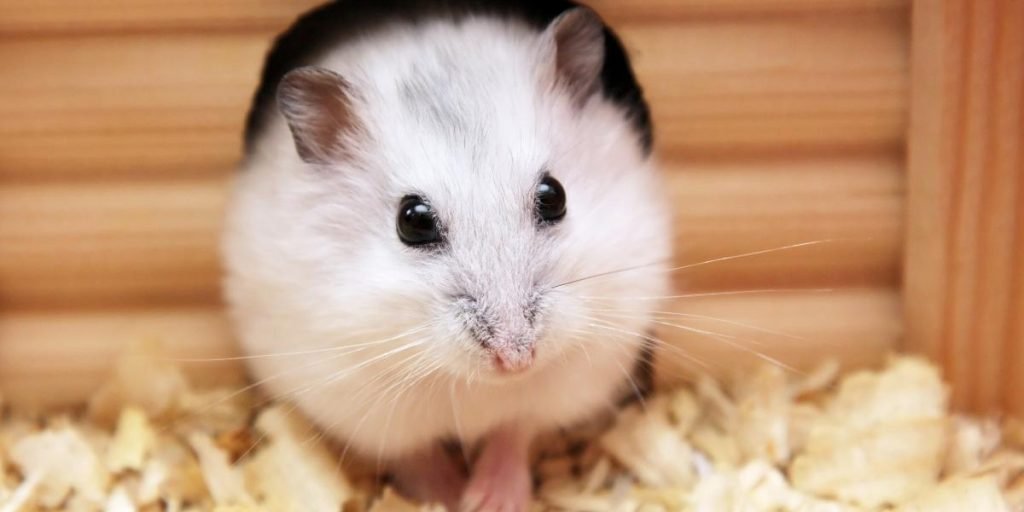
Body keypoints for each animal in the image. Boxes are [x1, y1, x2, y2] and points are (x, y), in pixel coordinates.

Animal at [222, 0, 672, 509]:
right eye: (413, 221)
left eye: (553, 195)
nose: (516, 360)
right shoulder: (360, 403)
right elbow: (415, 456)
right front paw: (450, 496)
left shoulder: (567, 381)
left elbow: (515, 431)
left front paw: (490, 498)